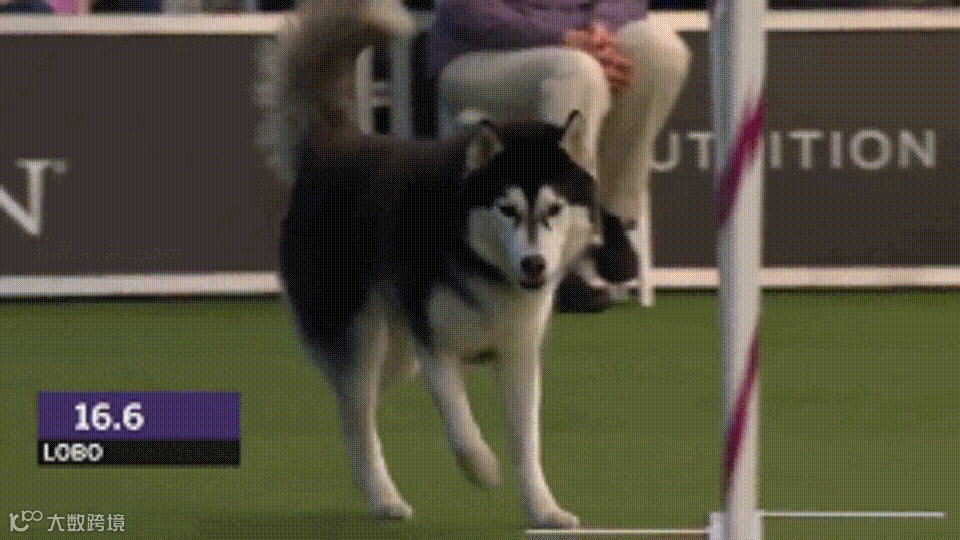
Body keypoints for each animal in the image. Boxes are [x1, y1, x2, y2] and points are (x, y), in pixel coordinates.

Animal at [257, 0, 594, 529]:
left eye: (555, 208)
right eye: (506, 209)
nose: (535, 265)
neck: (483, 269)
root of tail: (331, 144)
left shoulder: (519, 354)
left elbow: (527, 444)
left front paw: (544, 510)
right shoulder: (436, 348)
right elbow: (460, 422)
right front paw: (482, 467)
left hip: (399, 357)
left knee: (356, 401)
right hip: (366, 337)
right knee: (355, 413)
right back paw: (383, 497)